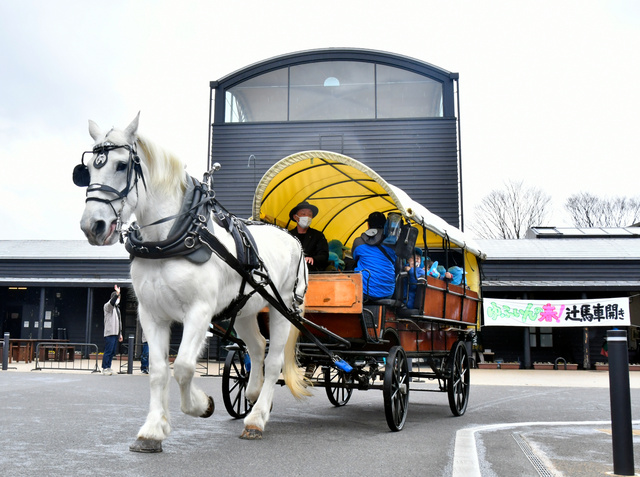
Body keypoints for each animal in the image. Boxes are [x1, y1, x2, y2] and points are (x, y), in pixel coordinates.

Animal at [75, 113, 311, 452]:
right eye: (88, 169)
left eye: (121, 165)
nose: (92, 226)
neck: (169, 240)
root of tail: (291, 237)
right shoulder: (151, 315)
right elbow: (158, 370)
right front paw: (152, 430)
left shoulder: (199, 311)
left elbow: (184, 366)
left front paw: (201, 405)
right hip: (244, 309)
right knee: (256, 348)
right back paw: (252, 397)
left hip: (284, 309)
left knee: (274, 359)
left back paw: (256, 418)